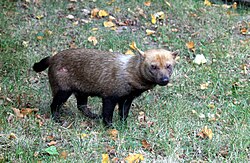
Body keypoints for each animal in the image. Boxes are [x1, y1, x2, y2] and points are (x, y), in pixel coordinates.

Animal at [33, 47, 178, 126]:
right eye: (153, 66)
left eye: (168, 65)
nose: (164, 80)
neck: (129, 74)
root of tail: (52, 58)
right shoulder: (110, 96)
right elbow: (107, 114)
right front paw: (110, 127)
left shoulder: (127, 98)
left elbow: (123, 113)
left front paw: (123, 125)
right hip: (63, 90)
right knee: (54, 105)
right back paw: (57, 119)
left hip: (81, 91)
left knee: (81, 106)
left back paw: (93, 116)